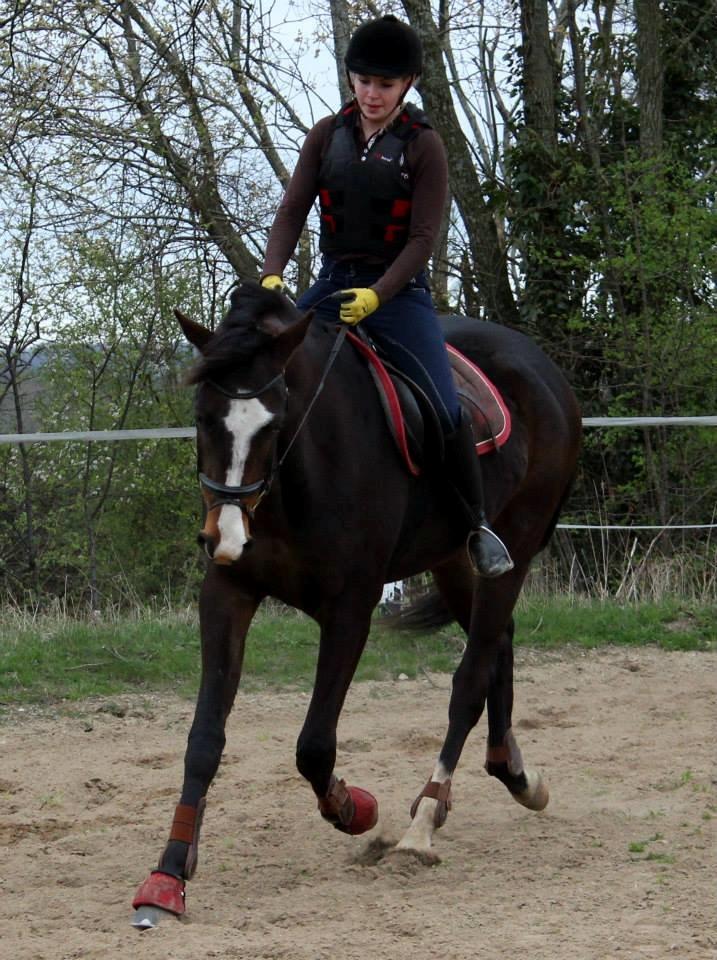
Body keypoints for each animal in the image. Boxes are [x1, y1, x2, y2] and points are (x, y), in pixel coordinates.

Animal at [133, 282, 580, 928]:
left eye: (274, 422)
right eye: (202, 418)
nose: (225, 536)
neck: (297, 475)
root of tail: (544, 369)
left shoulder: (350, 608)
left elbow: (314, 746)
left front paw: (355, 809)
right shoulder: (228, 594)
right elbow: (204, 740)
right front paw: (168, 876)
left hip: (513, 549)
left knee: (471, 675)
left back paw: (425, 820)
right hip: (453, 561)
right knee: (500, 643)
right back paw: (513, 773)